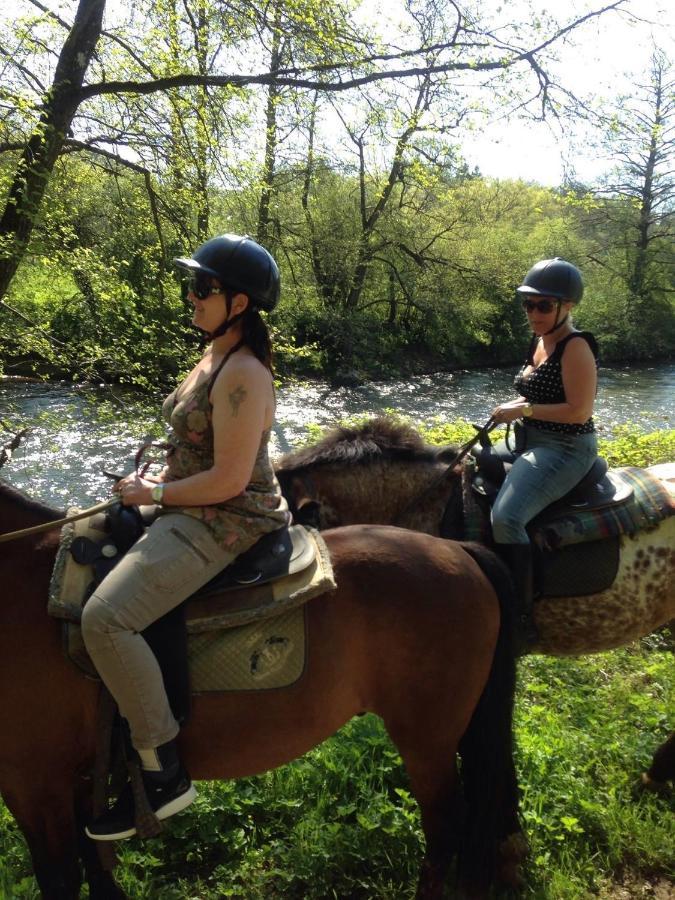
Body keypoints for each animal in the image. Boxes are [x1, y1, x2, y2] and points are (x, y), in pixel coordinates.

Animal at [0, 478, 520, 900]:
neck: (23, 583)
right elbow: (94, 866)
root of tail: (459, 551)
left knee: (446, 828)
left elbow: (60, 877)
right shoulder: (72, 778)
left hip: (426, 740)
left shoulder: (33, 784)